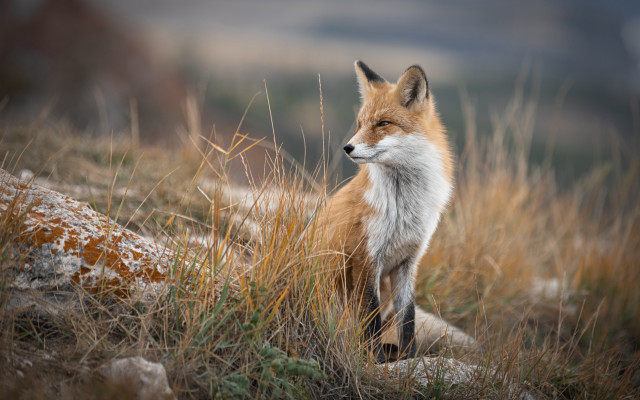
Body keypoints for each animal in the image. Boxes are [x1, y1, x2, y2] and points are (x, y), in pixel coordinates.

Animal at [315, 61, 461, 361]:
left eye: (383, 123)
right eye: (360, 124)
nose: (348, 147)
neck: (403, 207)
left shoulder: (408, 261)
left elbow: (408, 318)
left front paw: (409, 358)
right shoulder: (367, 257)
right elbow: (370, 317)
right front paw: (375, 360)